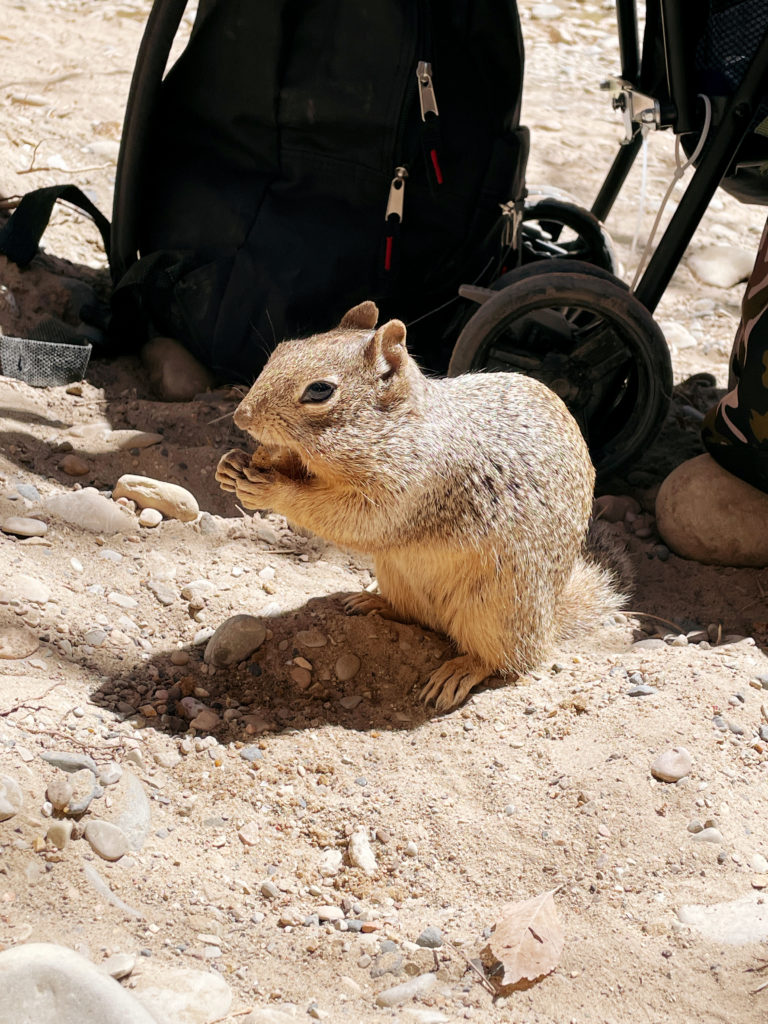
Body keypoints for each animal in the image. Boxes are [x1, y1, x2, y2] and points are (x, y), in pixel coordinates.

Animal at [215, 299, 626, 708]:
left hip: (497, 610)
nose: (241, 416)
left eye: (320, 390)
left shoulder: (411, 491)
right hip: (398, 576)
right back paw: (374, 604)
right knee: (418, 617)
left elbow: (348, 518)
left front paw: (271, 489)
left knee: (506, 657)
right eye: (282, 349)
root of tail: (550, 620)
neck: (402, 427)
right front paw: (234, 465)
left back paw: (458, 672)